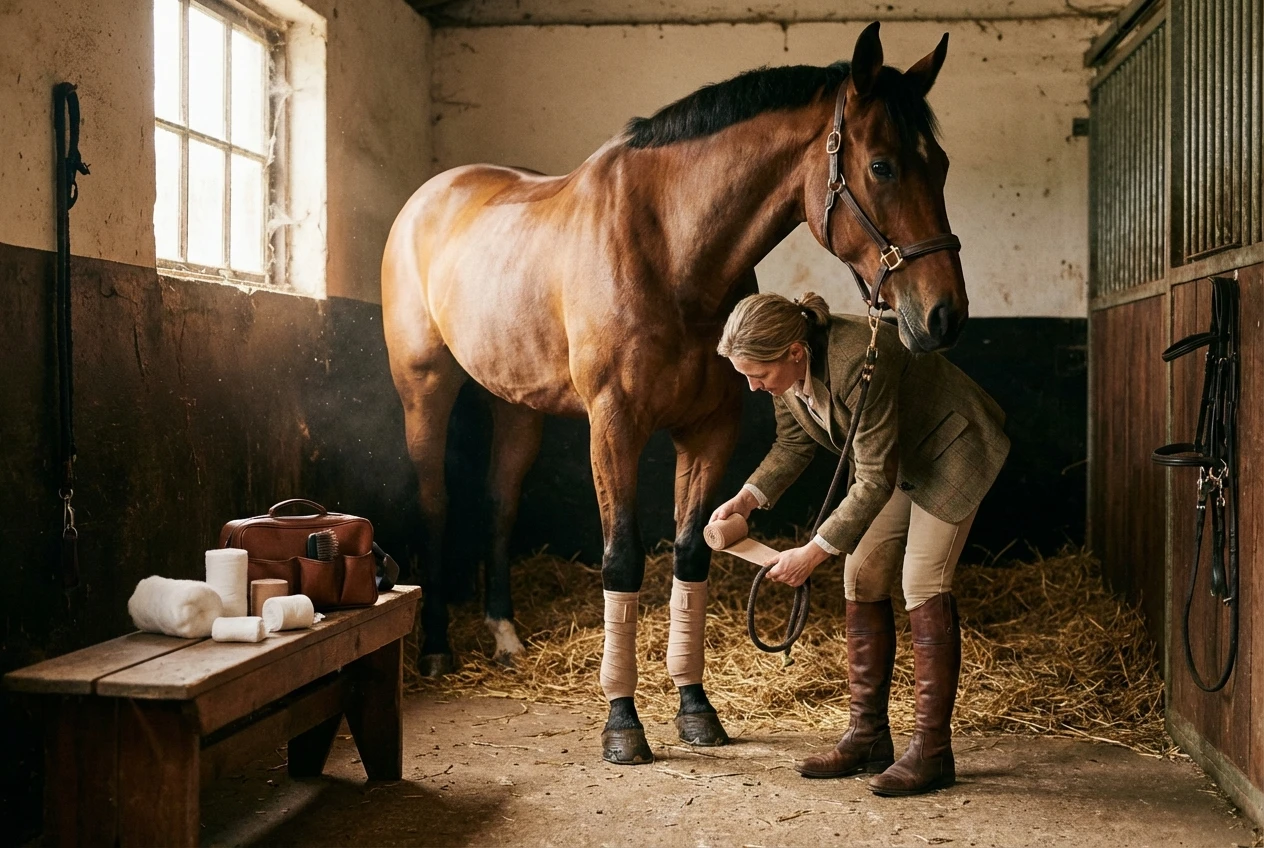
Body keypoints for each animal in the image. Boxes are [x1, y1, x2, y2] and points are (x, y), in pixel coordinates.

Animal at [382, 21, 967, 764]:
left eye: (941, 163)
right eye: (884, 166)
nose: (945, 315)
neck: (671, 247)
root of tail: (431, 195)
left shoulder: (710, 427)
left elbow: (691, 552)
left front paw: (695, 707)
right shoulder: (615, 426)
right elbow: (622, 560)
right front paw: (622, 723)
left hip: (515, 405)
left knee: (499, 504)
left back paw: (505, 635)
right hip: (423, 387)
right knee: (435, 502)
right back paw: (435, 648)